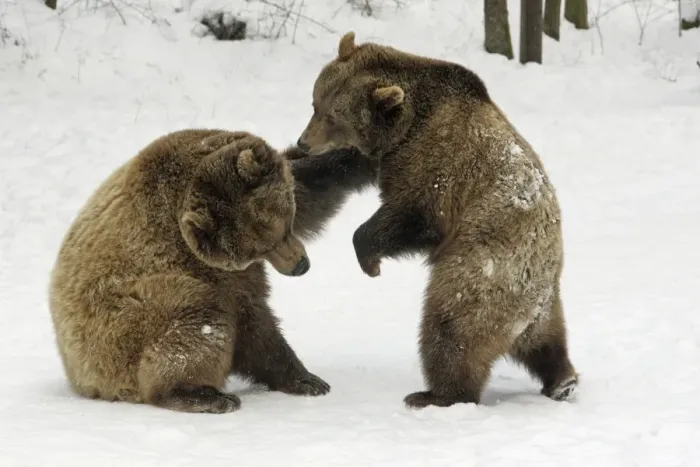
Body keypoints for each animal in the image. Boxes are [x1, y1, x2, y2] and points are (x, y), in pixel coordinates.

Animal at [49, 129, 376, 413]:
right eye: (259, 247)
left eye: (283, 224)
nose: (300, 265)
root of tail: (77, 376)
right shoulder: (208, 268)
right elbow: (252, 322)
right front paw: (306, 379)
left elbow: (309, 183)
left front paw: (357, 155)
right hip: (122, 328)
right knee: (198, 318)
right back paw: (204, 396)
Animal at [296, 32, 579, 409]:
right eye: (316, 105)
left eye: (333, 117)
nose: (303, 143)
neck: (408, 120)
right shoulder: (381, 154)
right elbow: (341, 166)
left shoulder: (437, 165)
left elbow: (414, 214)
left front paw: (370, 261)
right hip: (539, 302)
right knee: (546, 342)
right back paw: (562, 380)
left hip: (486, 264)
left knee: (452, 324)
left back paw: (436, 394)